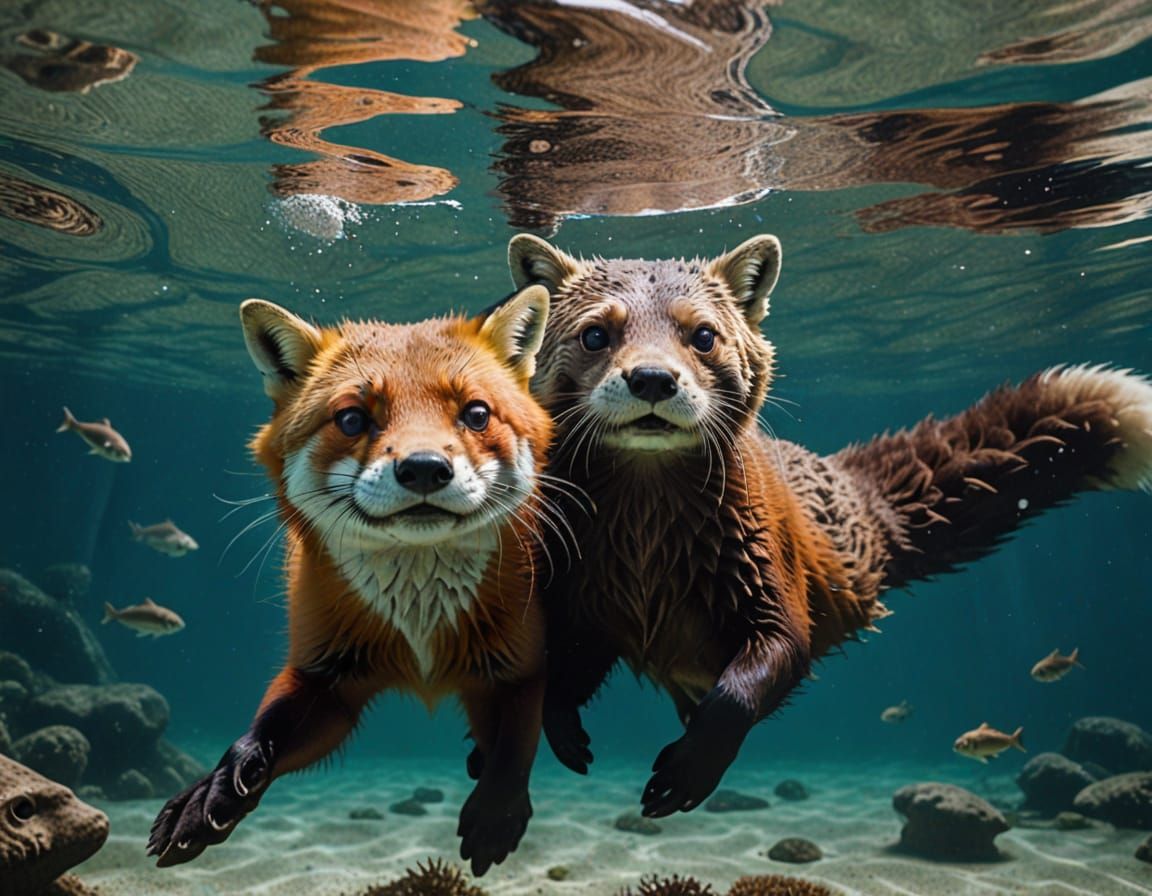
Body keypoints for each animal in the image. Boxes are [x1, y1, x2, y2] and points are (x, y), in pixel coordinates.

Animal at [148, 285, 555, 876]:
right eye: (352, 419)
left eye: (476, 414)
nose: (425, 468)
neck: (419, 632)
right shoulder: (325, 675)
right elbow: (255, 738)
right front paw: (209, 796)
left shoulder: (519, 666)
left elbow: (517, 746)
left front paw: (496, 813)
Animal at [507, 232, 1152, 819]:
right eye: (595, 334)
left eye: (704, 335)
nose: (652, 379)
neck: (647, 553)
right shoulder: (585, 599)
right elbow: (562, 675)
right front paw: (567, 738)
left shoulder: (772, 578)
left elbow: (760, 675)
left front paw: (686, 773)